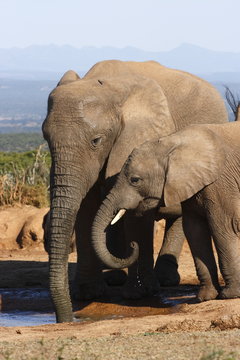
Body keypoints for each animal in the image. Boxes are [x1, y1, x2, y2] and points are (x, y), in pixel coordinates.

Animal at [92, 120, 240, 300]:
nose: (134, 244)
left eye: (135, 180)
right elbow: (194, 230)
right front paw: (205, 297)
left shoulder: (220, 183)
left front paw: (230, 295)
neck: (169, 144)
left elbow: (223, 227)